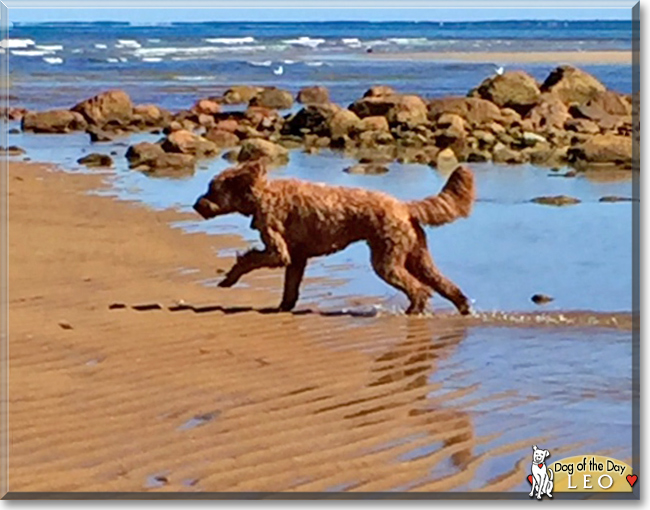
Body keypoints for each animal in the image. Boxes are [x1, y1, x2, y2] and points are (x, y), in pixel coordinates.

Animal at [194, 159, 476, 312]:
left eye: (212, 189)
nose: (197, 205)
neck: (263, 194)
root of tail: (405, 207)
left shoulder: (278, 250)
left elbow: (250, 259)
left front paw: (229, 279)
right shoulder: (297, 257)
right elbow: (290, 286)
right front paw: (284, 306)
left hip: (387, 259)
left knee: (419, 289)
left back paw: (414, 309)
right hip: (417, 255)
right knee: (442, 283)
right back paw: (462, 306)